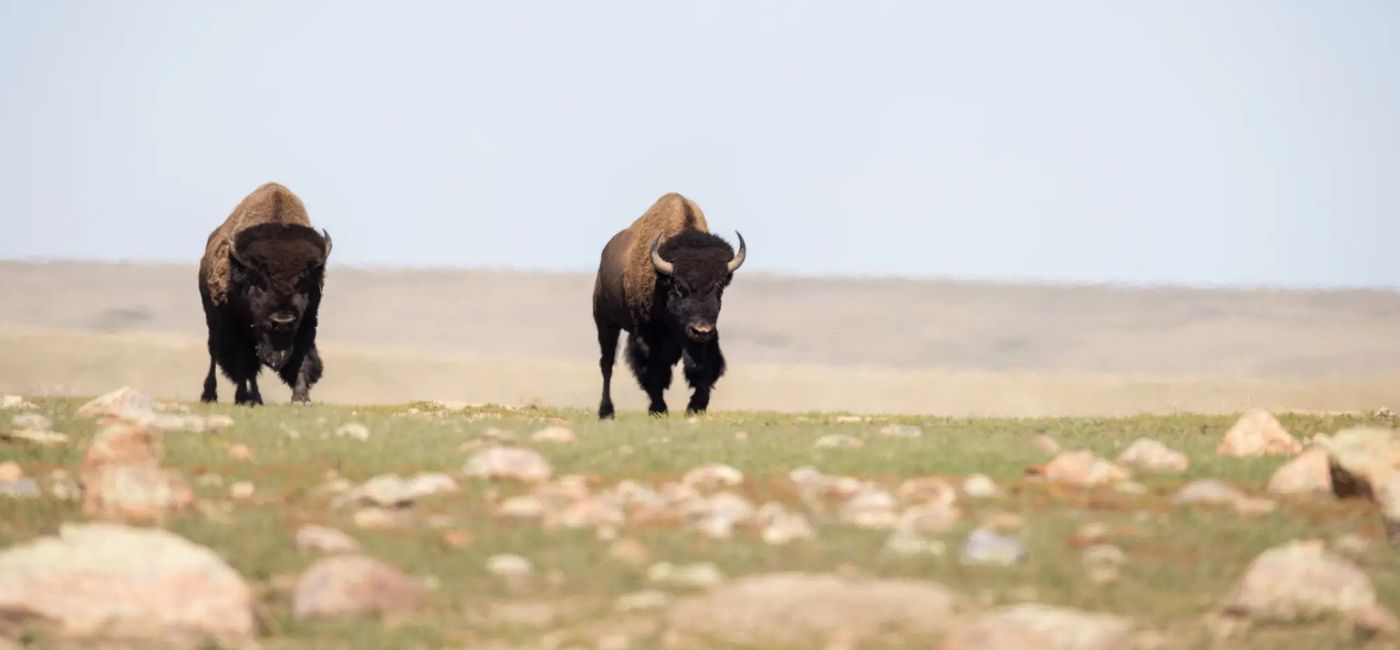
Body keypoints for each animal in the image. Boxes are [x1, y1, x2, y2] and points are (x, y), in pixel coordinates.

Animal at [198, 183, 332, 405]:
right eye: (258, 281)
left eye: (303, 282)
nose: (282, 320)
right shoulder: (239, 328)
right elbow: (244, 364)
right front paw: (245, 398)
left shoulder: (307, 322)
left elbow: (301, 358)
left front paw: (301, 397)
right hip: (214, 323)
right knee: (216, 356)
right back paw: (214, 395)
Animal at [592, 193, 746, 418]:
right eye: (679, 286)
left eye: (719, 286)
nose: (700, 330)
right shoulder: (646, 335)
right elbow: (653, 372)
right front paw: (658, 408)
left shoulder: (706, 337)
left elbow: (703, 368)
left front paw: (696, 406)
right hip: (605, 322)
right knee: (607, 364)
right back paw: (606, 411)